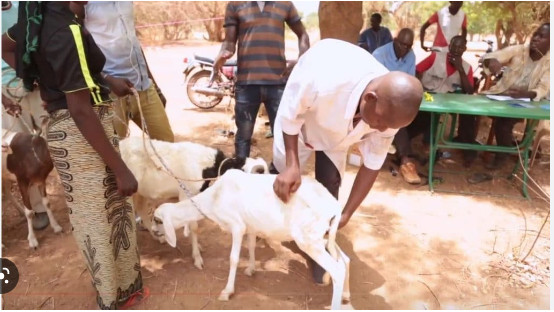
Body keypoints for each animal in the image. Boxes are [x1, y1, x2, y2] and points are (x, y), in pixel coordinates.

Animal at [118, 137, 268, 270]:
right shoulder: (186, 195)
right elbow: (194, 226)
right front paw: (197, 258)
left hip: (139, 192)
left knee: (142, 210)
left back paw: (158, 237)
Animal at [151, 169, 350, 308]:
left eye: (157, 220)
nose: (152, 231)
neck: (214, 197)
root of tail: (334, 205)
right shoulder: (251, 226)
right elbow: (252, 245)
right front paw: (251, 269)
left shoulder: (237, 226)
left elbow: (233, 258)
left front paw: (227, 291)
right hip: (322, 235)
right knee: (345, 259)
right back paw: (346, 295)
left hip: (308, 240)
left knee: (337, 269)